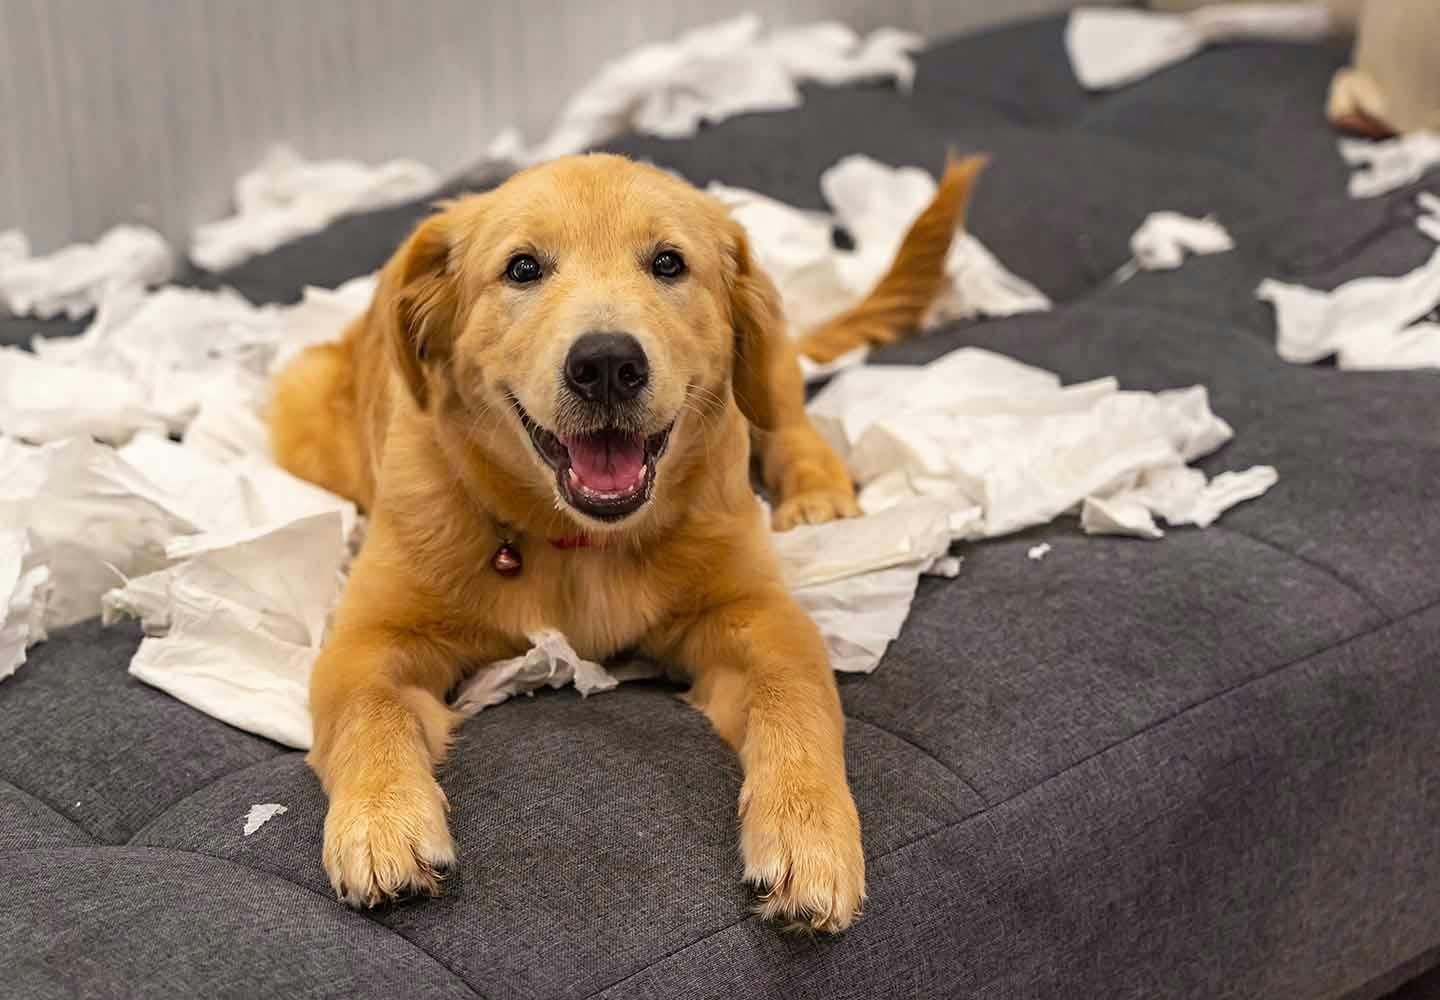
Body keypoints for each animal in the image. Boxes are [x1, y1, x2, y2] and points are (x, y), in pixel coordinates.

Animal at [269, 152, 984, 933]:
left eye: (668, 262)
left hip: (767, 367)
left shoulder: (757, 612)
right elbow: (369, 710)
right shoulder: (367, 637)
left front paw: (809, 833)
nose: (607, 365)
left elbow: (797, 697)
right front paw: (381, 822)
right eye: (522, 268)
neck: (581, 544)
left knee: (789, 419)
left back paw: (817, 494)